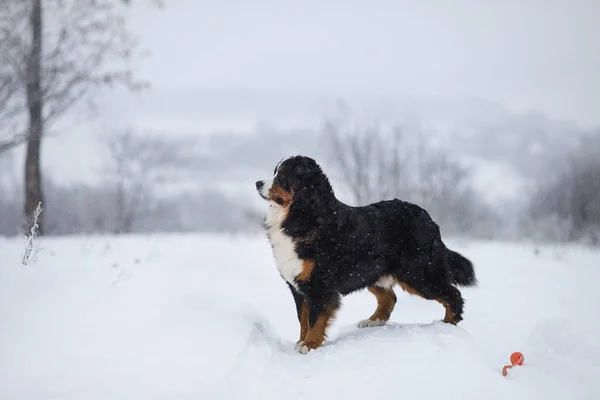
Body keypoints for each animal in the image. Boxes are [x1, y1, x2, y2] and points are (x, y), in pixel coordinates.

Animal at [254, 155, 478, 354]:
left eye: (282, 176)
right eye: (274, 172)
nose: (257, 183)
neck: (304, 216)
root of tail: (428, 218)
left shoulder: (319, 285)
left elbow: (314, 320)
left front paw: (309, 345)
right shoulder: (298, 285)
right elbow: (303, 319)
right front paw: (301, 342)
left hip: (418, 274)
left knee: (452, 294)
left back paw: (448, 324)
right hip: (372, 271)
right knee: (390, 297)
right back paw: (373, 321)